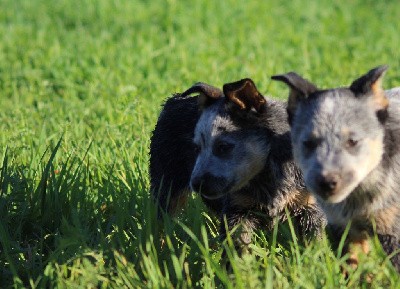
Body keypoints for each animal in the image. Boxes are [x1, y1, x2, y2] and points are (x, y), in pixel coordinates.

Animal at [272, 66, 400, 272]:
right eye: (308, 143)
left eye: (353, 141)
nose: (326, 182)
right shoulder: (343, 227)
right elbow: (353, 265)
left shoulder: (392, 229)